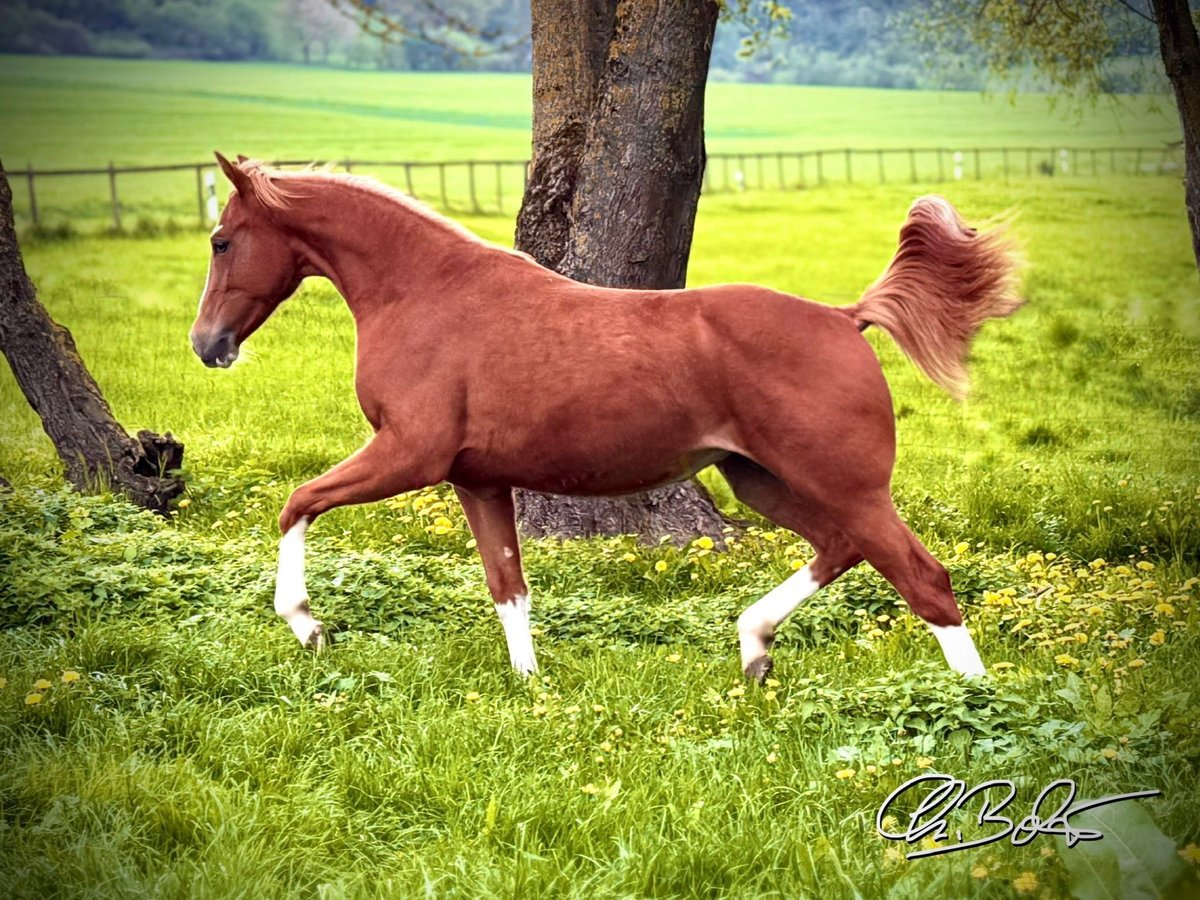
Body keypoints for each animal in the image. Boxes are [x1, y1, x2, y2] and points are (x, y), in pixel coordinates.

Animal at [190, 152, 1021, 682]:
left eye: (222, 239)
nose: (207, 345)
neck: (424, 291)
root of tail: (845, 319)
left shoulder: (409, 455)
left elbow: (297, 502)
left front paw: (306, 624)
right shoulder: (477, 480)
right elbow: (508, 584)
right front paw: (529, 684)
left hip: (843, 484)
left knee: (923, 577)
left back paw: (976, 700)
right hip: (760, 481)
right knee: (842, 549)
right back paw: (753, 648)